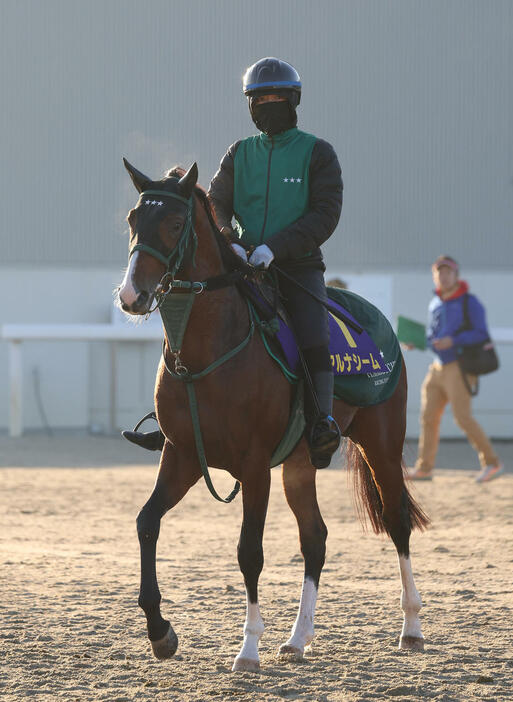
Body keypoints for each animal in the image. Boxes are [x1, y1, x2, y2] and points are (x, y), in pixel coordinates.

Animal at [116, 160, 428, 676]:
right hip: (299, 464)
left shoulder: (254, 466)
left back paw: (411, 626)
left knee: (396, 519)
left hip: (381, 442)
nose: (132, 295)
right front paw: (161, 632)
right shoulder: (182, 456)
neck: (208, 351)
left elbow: (249, 552)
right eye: (133, 218)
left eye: (177, 224)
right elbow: (146, 523)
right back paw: (298, 638)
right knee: (316, 537)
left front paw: (247, 648)